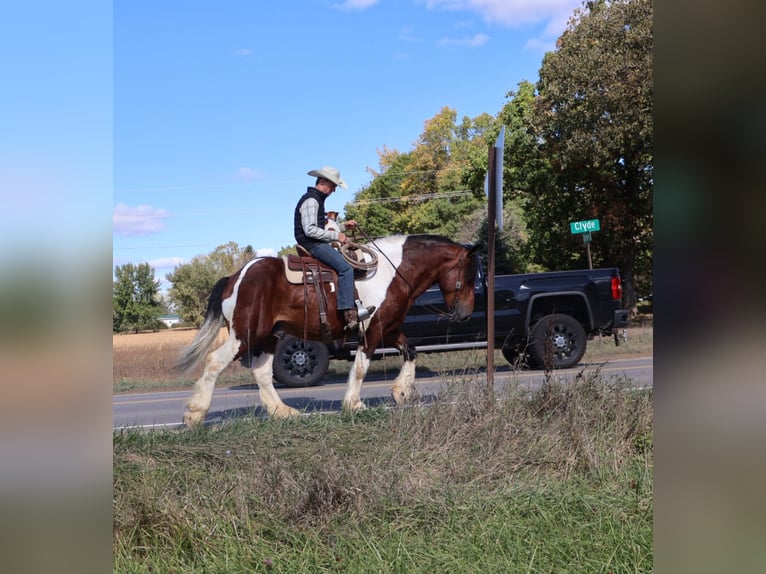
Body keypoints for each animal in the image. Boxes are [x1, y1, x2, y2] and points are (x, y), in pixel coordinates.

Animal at [176, 234, 480, 426]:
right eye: (467, 275)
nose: (466, 314)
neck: (392, 272)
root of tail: (235, 276)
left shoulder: (389, 327)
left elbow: (411, 351)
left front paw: (401, 392)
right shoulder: (373, 329)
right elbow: (361, 367)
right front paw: (353, 404)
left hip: (269, 336)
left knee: (261, 372)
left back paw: (282, 411)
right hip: (245, 335)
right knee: (214, 361)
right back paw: (195, 414)